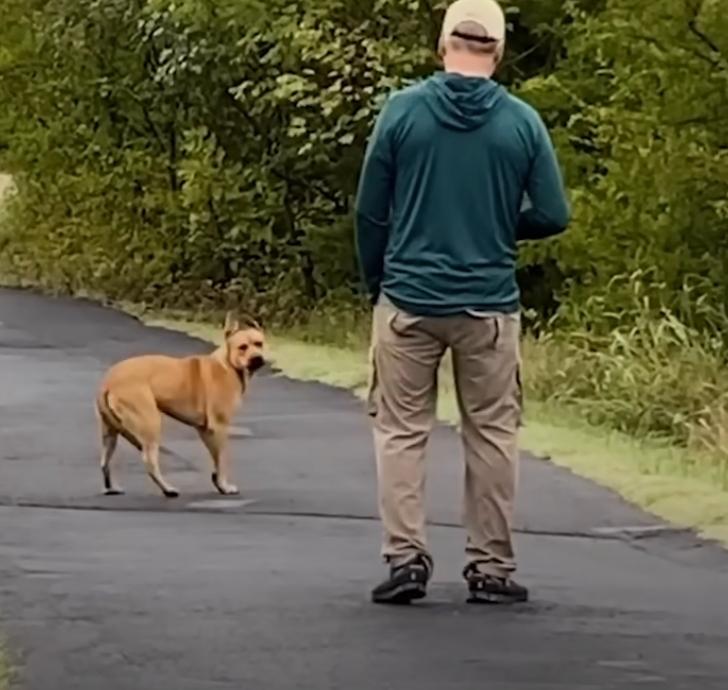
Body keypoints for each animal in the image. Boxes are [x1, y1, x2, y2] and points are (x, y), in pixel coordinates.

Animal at [95, 312, 266, 494]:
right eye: (242, 347)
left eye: (259, 343)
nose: (257, 358)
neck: (227, 365)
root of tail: (108, 383)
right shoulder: (219, 427)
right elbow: (222, 460)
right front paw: (224, 485)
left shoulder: (206, 430)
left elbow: (216, 459)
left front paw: (217, 481)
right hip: (150, 424)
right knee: (150, 462)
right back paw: (167, 489)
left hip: (110, 433)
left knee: (104, 461)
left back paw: (111, 487)